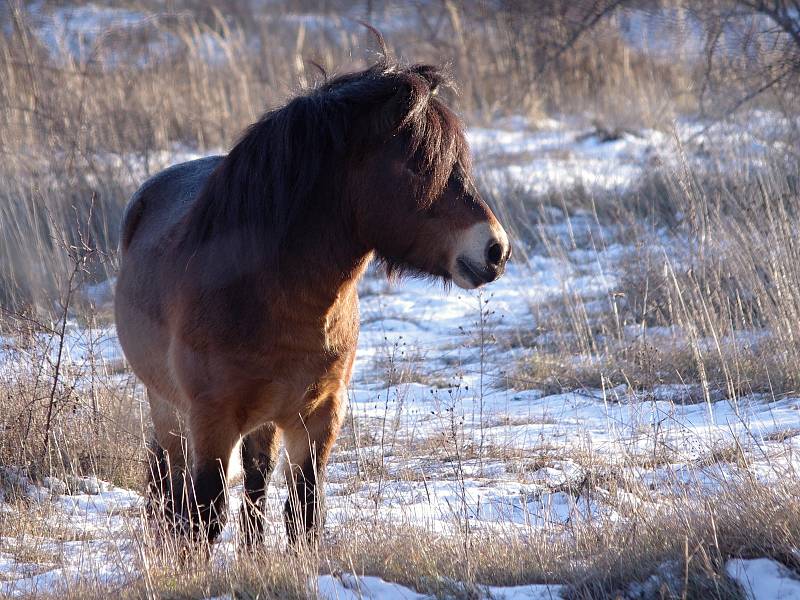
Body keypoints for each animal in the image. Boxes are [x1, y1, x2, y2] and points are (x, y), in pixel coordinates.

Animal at [113, 58, 510, 548]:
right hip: (169, 411)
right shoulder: (211, 420)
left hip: (261, 419)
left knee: (256, 484)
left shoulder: (319, 415)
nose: (496, 250)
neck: (267, 293)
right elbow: (204, 515)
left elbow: (304, 514)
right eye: (420, 166)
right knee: (176, 494)